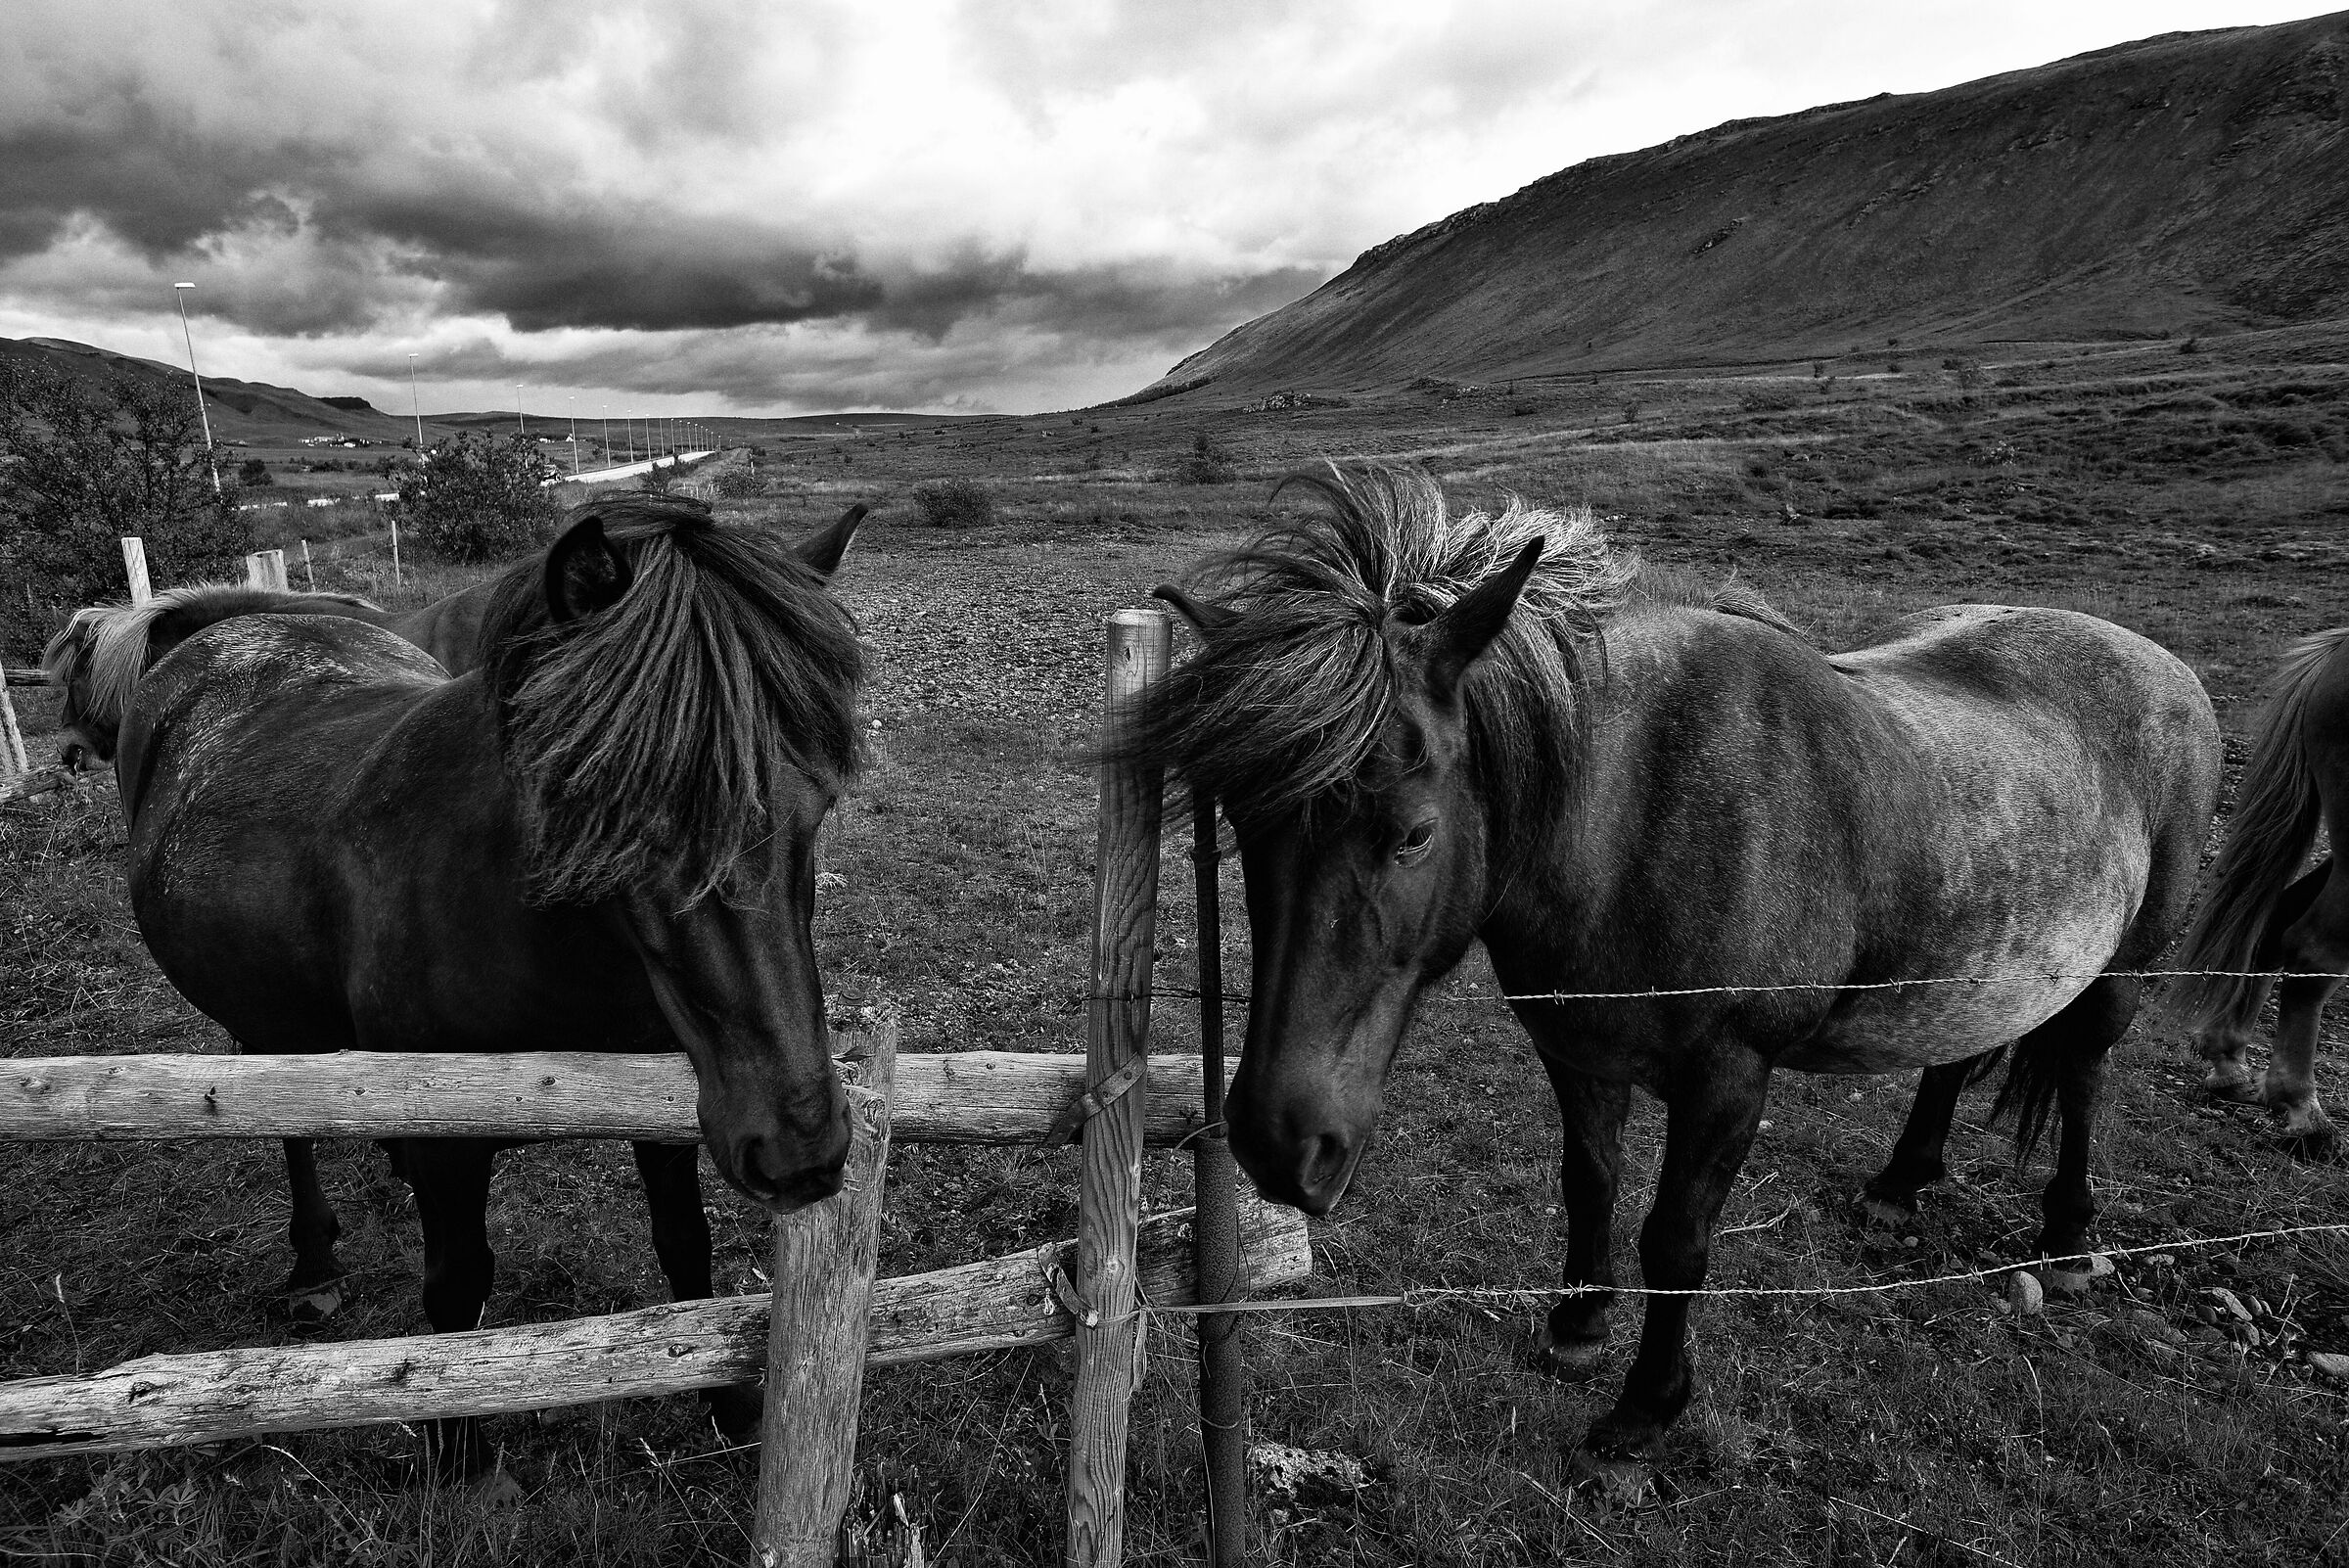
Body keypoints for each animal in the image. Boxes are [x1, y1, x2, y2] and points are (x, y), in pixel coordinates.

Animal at [44, 494, 866, 1472]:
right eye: (620, 813)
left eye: (817, 806)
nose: (801, 1150)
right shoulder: (455, 1145)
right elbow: (456, 1289)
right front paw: (460, 1450)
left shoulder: (671, 1100)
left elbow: (684, 1244)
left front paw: (731, 1403)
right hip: (266, 1023)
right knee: (283, 1113)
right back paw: (314, 1263)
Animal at [1128, 465, 2221, 1474]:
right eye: (1244, 829)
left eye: (1412, 833)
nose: (1278, 1144)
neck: (1633, 818)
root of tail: (2160, 663)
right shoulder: (1576, 1046)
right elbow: (1591, 1181)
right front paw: (1577, 1325)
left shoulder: (1728, 1076)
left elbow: (1676, 1237)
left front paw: (1645, 1409)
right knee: (1956, 1050)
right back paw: (1901, 1182)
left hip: (2121, 977)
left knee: (2083, 1073)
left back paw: (2069, 1239)